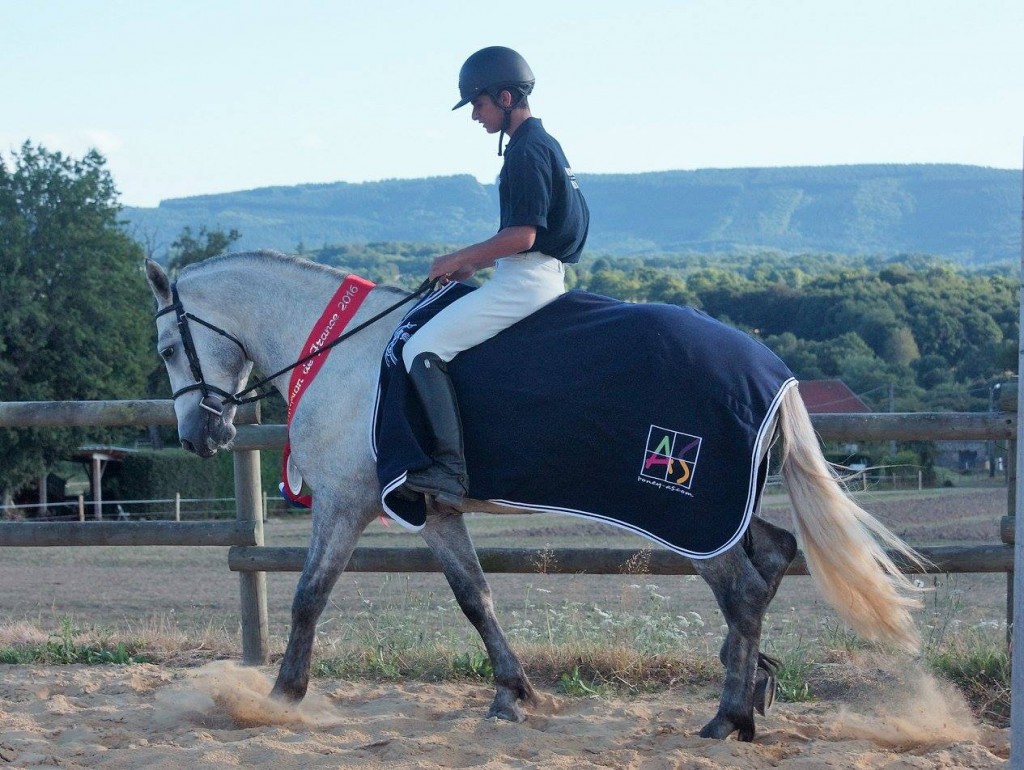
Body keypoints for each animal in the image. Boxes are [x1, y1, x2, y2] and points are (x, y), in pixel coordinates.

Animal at [142, 250, 921, 741]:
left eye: (169, 350)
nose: (199, 437)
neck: (340, 352)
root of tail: (769, 370)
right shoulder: (436, 510)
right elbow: (474, 597)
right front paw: (512, 693)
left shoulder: (345, 501)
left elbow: (309, 596)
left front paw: (281, 698)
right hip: (720, 514)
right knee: (775, 554)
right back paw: (754, 690)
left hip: (690, 516)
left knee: (744, 589)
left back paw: (729, 716)